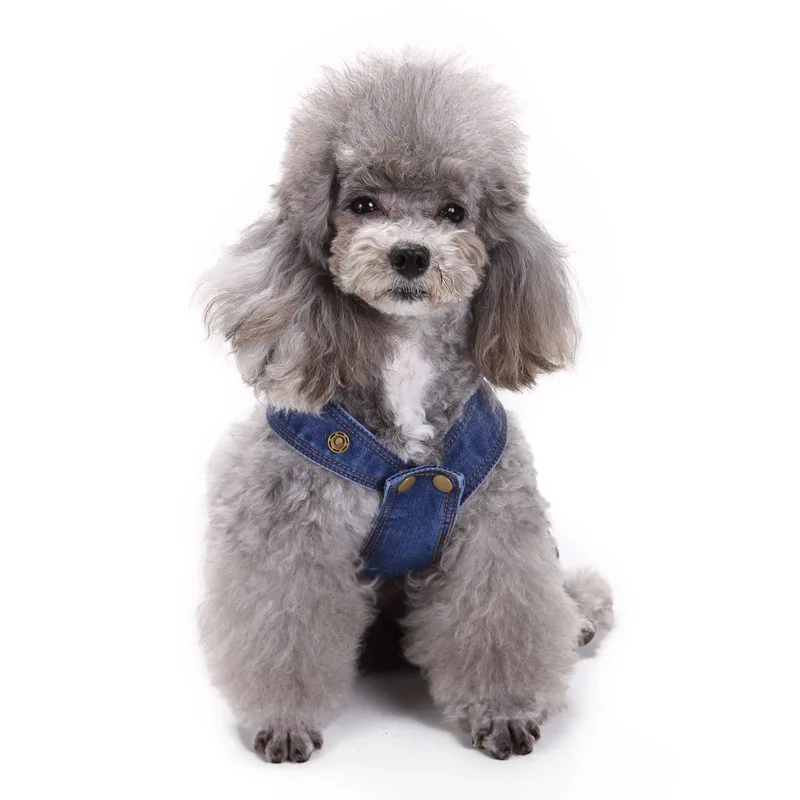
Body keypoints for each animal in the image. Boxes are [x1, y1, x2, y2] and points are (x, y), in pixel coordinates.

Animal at [199, 54, 613, 763]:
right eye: (362, 204)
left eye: (454, 212)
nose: (410, 255)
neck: (407, 364)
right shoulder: (286, 534)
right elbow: (283, 629)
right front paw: (283, 720)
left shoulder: (495, 535)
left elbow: (503, 618)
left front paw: (504, 709)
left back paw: (581, 617)